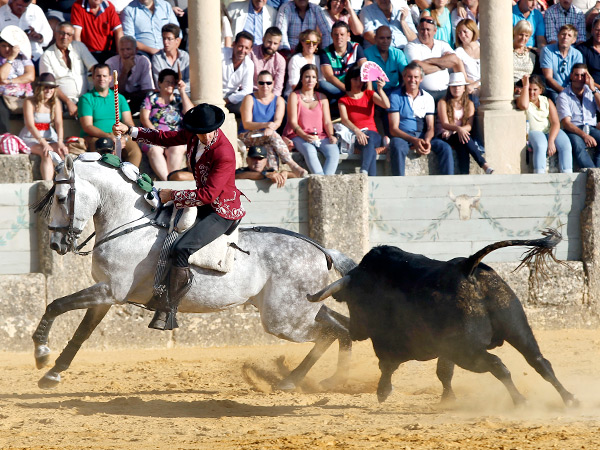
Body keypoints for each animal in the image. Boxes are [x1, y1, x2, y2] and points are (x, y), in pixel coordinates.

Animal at [31, 154, 356, 390]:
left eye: (61, 198)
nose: (56, 243)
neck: (129, 225)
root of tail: (322, 251)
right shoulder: (106, 295)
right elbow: (82, 332)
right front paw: (53, 373)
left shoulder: (110, 291)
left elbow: (56, 304)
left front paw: (41, 353)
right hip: (299, 310)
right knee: (338, 325)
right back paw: (321, 378)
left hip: (283, 320)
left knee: (329, 333)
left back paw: (300, 381)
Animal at [310, 230, 576, 406]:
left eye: (352, 301)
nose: (355, 332)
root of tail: (467, 267)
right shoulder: (444, 349)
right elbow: (443, 372)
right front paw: (448, 398)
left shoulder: (388, 343)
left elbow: (387, 366)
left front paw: (382, 392)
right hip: (517, 328)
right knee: (539, 361)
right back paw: (570, 399)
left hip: (468, 351)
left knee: (498, 366)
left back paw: (520, 400)